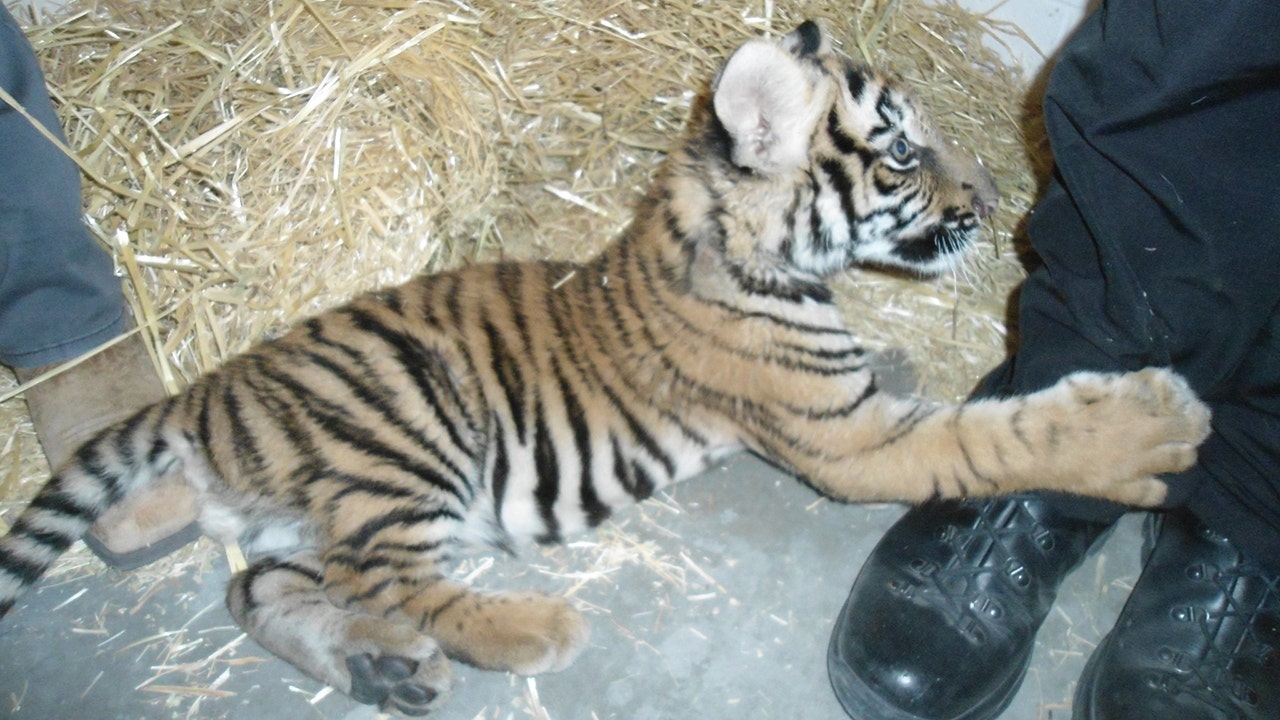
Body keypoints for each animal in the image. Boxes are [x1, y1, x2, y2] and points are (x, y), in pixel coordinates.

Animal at [0, 21, 1210, 717]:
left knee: (261, 586)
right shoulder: (846, 441)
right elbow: (999, 435)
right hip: (408, 439)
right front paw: (1152, 426)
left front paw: (906, 352)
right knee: (391, 580)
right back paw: (530, 629)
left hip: (316, 516)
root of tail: (206, 392)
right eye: (904, 153)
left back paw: (383, 671)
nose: (995, 204)